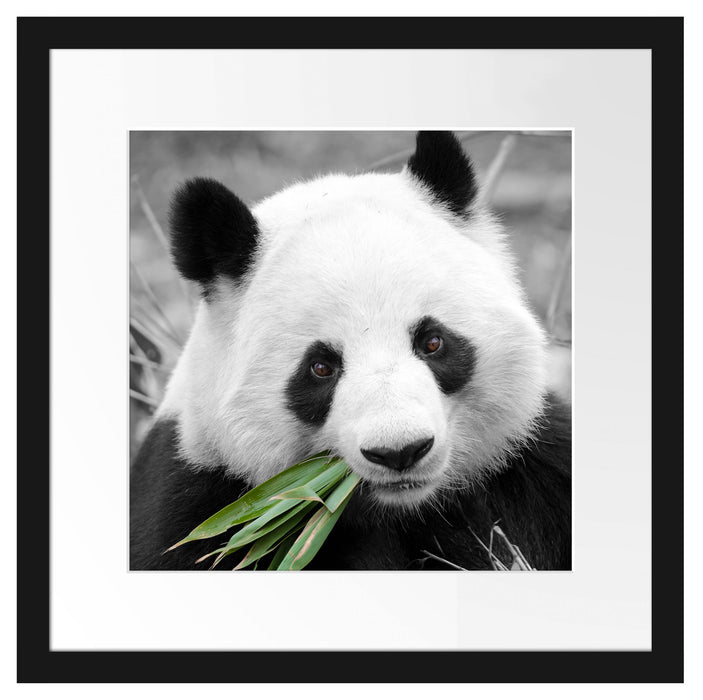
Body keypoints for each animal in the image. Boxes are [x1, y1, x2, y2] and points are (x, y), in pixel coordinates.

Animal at [130, 131, 571, 571]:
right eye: (321, 367)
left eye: (432, 342)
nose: (400, 452)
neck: (404, 508)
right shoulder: (203, 504)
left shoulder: (532, 468)